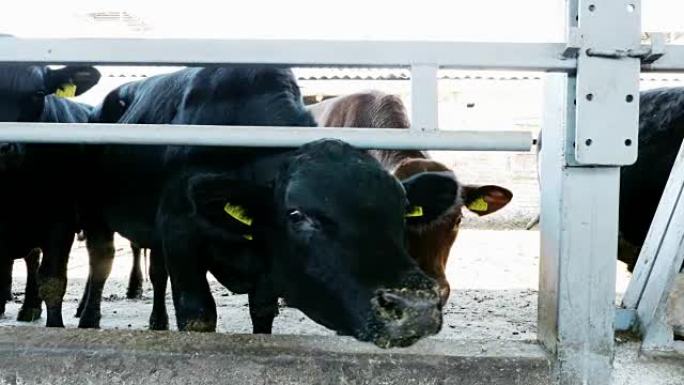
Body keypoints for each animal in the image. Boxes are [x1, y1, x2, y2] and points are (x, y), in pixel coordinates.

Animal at [0, 63, 101, 324]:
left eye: (38, 94)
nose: (4, 146)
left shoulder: (60, 222)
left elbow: (53, 280)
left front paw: (55, 325)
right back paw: (30, 308)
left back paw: (87, 314)